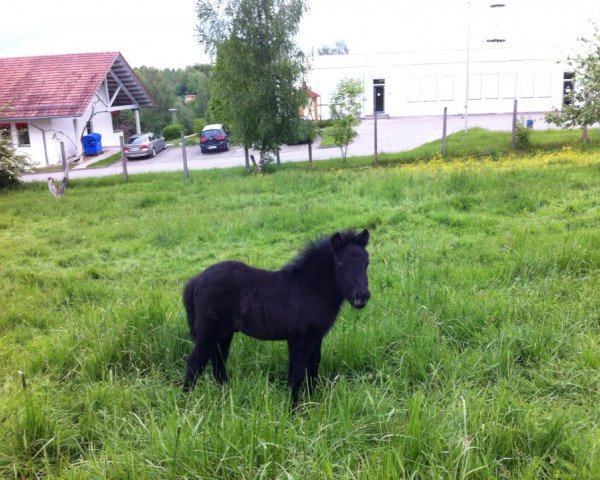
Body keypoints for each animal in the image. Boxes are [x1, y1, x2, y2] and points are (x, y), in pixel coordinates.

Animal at [183, 231, 370, 404]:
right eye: (341, 266)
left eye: (367, 263)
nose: (362, 297)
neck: (308, 289)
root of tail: (196, 280)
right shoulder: (299, 339)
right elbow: (296, 375)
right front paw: (292, 410)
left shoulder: (316, 338)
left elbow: (313, 370)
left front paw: (312, 403)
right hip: (208, 333)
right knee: (195, 364)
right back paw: (187, 404)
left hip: (224, 334)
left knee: (218, 364)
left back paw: (226, 400)